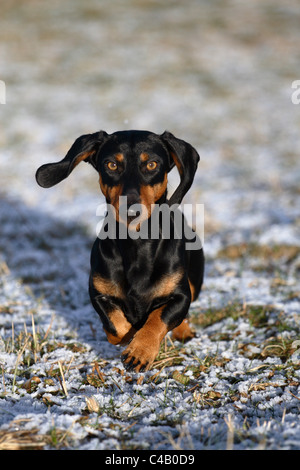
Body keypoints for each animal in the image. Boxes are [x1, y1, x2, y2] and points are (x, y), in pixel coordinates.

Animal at [34, 129, 204, 370]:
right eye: (112, 165)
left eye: (152, 164)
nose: (131, 210)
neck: (136, 243)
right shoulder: (98, 293)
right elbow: (115, 327)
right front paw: (130, 337)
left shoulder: (180, 296)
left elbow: (158, 319)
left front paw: (140, 351)